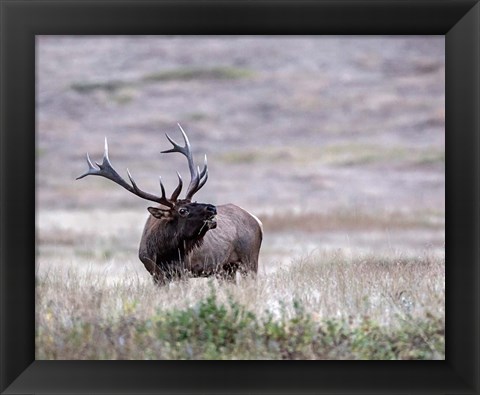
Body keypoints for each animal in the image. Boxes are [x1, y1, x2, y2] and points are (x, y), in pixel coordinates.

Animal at [76, 124, 262, 284]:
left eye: (193, 201)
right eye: (183, 210)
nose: (212, 207)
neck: (162, 253)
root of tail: (256, 220)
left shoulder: (184, 272)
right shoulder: (156, 275)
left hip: (249, 260)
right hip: (226, 269)